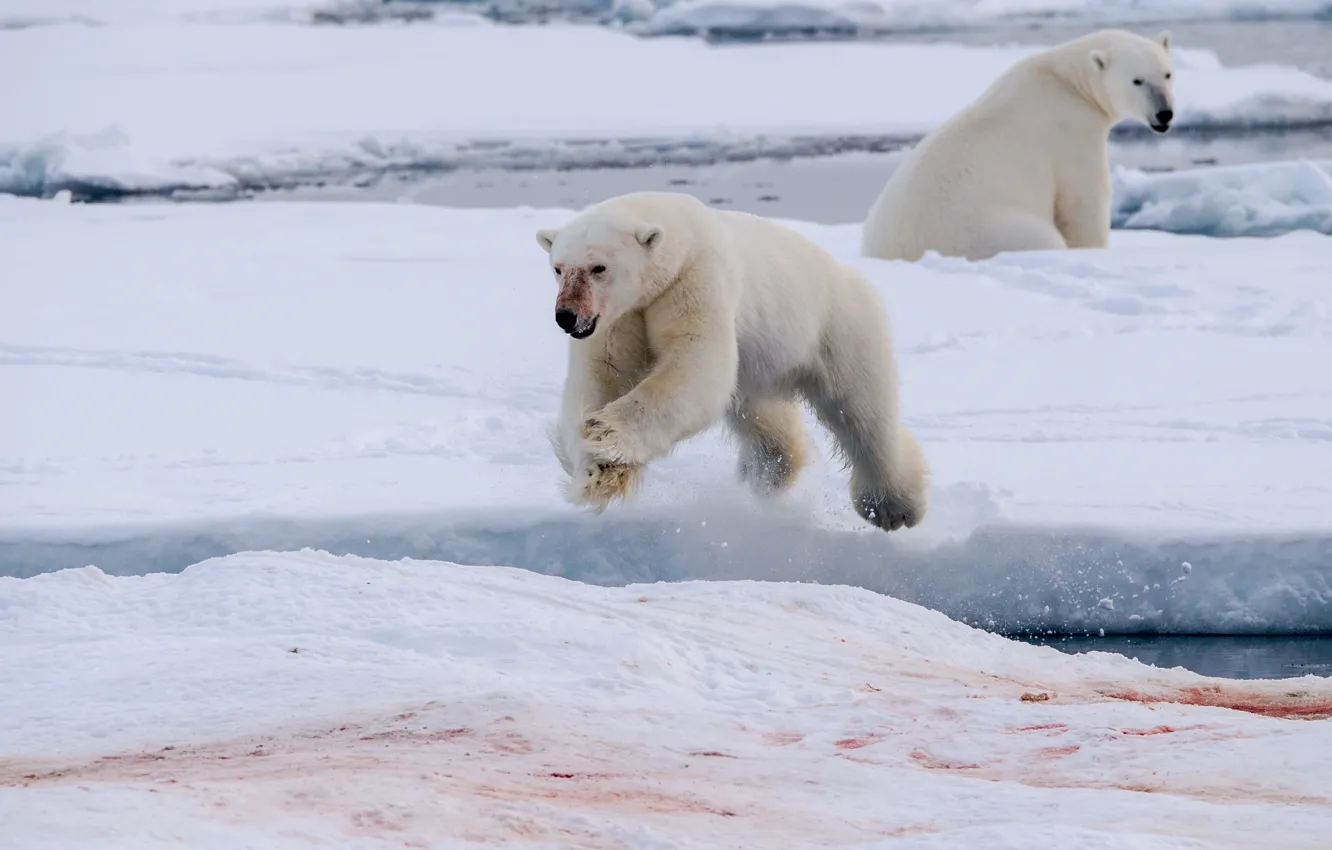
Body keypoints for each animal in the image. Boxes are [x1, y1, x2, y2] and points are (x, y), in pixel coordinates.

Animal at [535, 191, 928, 532]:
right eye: (558, 268)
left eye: (598, 267)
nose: (566, 316)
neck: (679, 237)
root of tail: (847, 275)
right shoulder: (618, 319)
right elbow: (602, 376)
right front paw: (597, 472)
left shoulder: (695, 282)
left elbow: (696, 365)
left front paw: (604, 432)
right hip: (763, 363)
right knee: (762, 417)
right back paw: (773, 471)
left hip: (837, 328)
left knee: (861, 412)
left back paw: (892, 507)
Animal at [861, 28, 1176, 262]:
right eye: (1137, 81)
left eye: (1167, 74)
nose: (1164, 114)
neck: (1070, 82)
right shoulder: (1070, 131)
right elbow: (1084, 200)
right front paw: (1094, 249)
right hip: (987, 229)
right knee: (1044, 238)